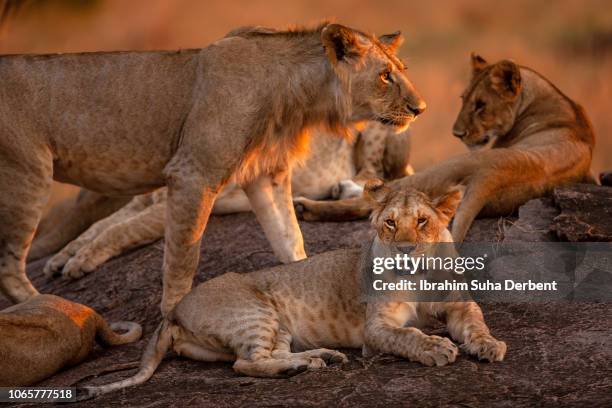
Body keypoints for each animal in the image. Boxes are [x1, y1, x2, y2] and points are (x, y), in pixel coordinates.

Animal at [0, 23, 426, 316]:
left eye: (402, 69)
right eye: (385, 75)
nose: (421, 108)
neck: (300, 97)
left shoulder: (263, 177)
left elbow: (289, 238)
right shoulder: (193, 175)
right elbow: (178, 253)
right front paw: (172, 316)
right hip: (27, 174)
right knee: (9, 265)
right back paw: (51, 308)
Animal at [294, 52, 596, 241]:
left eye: (481, 105)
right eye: (464, 99)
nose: (457, 133)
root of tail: (492, 175)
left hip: (440, 169)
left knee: (371, 201)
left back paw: (309, 205)